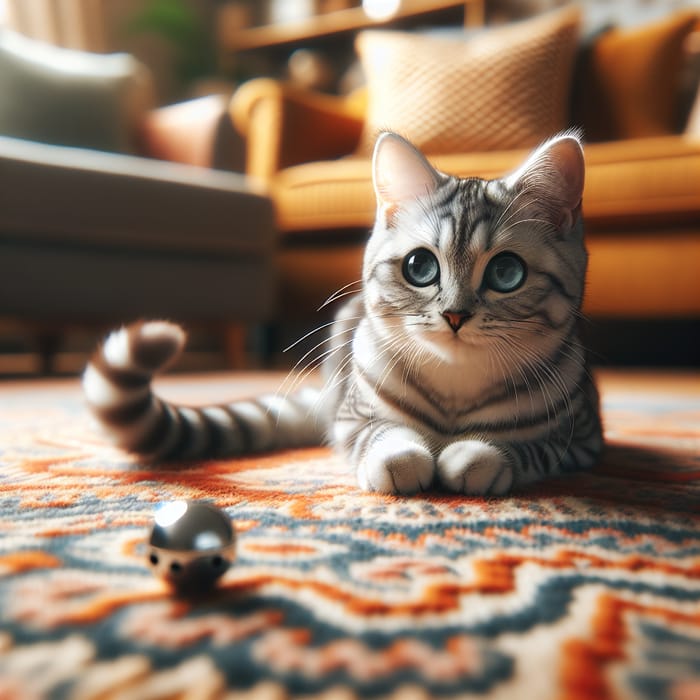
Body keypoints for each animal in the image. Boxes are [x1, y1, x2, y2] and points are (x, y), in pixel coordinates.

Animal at [85, 130, 604, 492]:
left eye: (506, 273)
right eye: (420, 267)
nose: (455, 315)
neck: (456, 391)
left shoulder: (580, 439)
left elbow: (529, 446)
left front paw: (477, 456)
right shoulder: (352, 418)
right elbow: (381, 438)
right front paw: (403, 459)